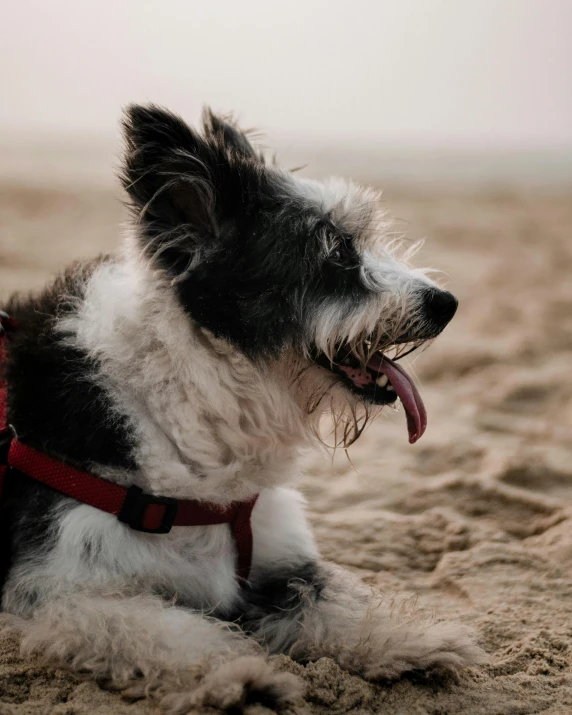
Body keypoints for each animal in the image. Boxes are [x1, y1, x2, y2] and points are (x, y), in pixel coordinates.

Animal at [0, 103, 482, 712]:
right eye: (335, 252)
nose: (446, 303)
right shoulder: (60, 588)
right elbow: (174, 632)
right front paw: (242, 677)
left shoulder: (277, 559)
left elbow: (337, 601)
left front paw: (412, 639)